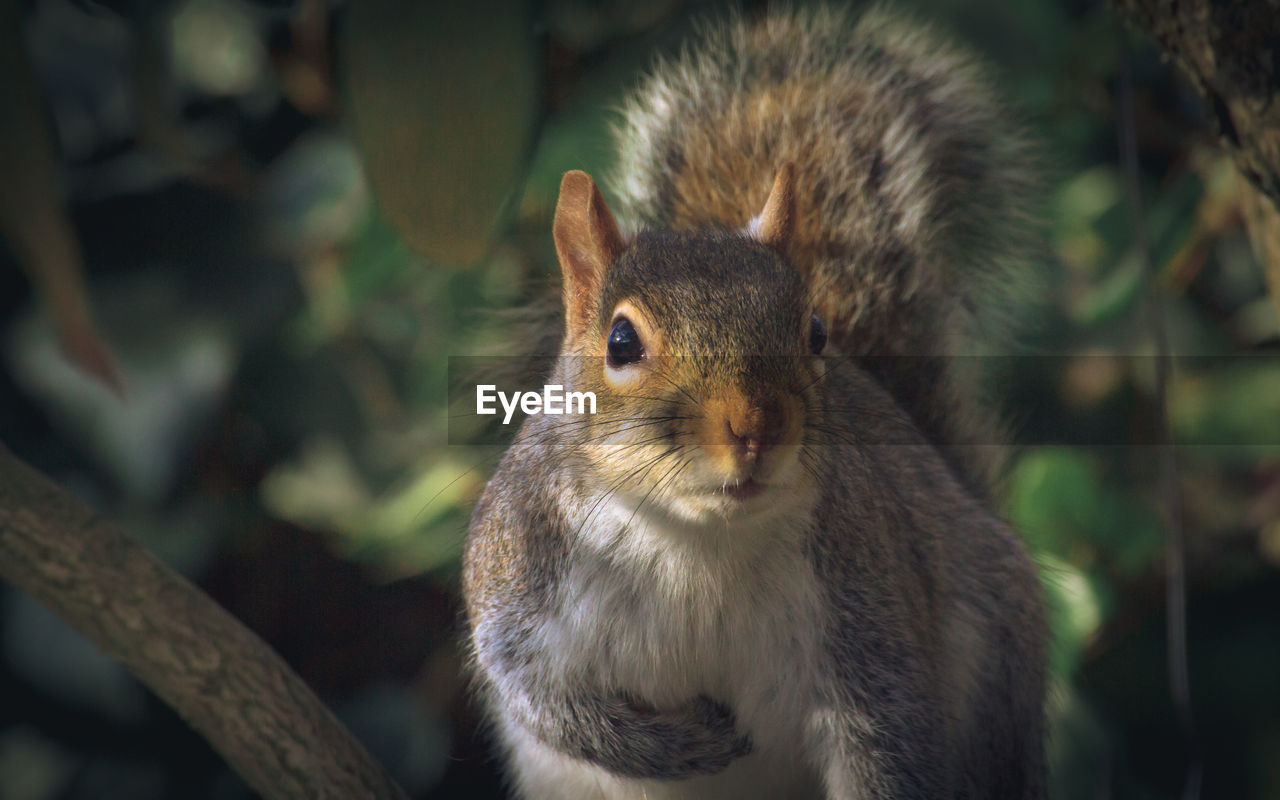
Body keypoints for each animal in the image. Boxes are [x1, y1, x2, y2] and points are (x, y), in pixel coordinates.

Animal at [465, 3, 1044, 793]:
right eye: (620, 342)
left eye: (817, 332)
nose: (757, 427)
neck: (697, 545)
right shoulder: (518, 583)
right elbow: (547, 703)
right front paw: (674, 746)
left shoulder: (872, 630)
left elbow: (891, 747)